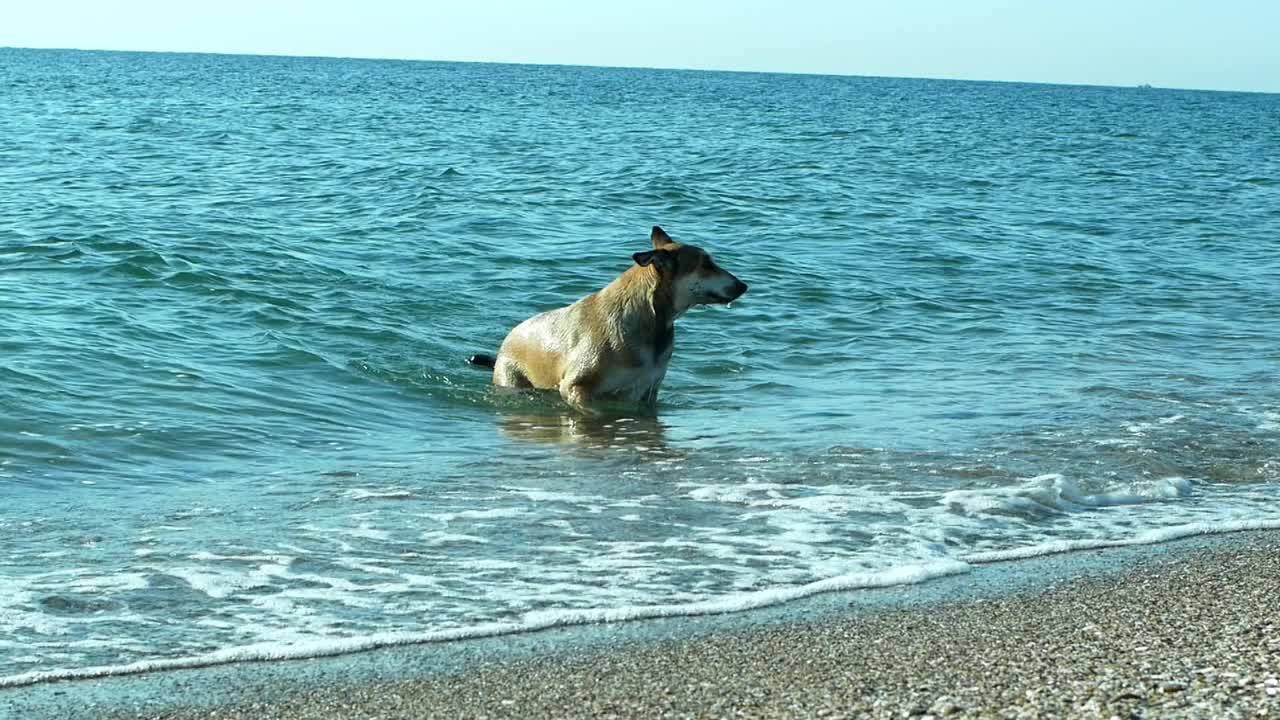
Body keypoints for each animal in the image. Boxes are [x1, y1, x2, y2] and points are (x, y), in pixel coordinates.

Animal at [471, 226, 747, 412]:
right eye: (706, 264)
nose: (743, 286)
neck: (651, 318)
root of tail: (506, 341)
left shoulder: (647, 392)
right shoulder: (576, 388)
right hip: (512, 379)